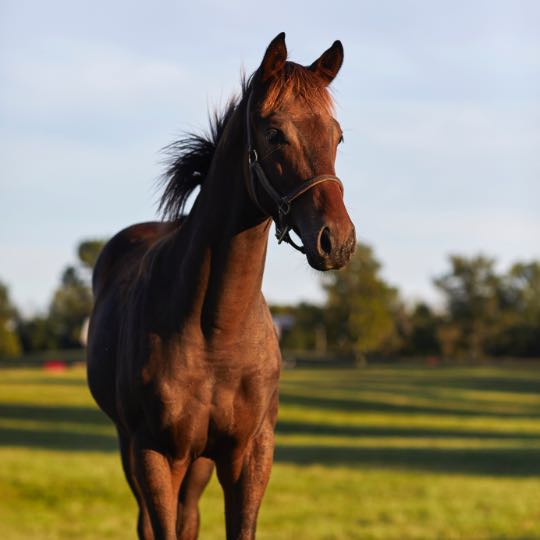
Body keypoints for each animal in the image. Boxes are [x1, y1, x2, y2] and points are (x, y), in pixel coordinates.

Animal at [86, 33, 356, 540]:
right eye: (275, 134)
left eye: (337, 135)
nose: (338, 240)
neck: (216, 330)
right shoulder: (154, 454)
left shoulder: (248, 455)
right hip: (132, 446)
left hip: (199, 461)